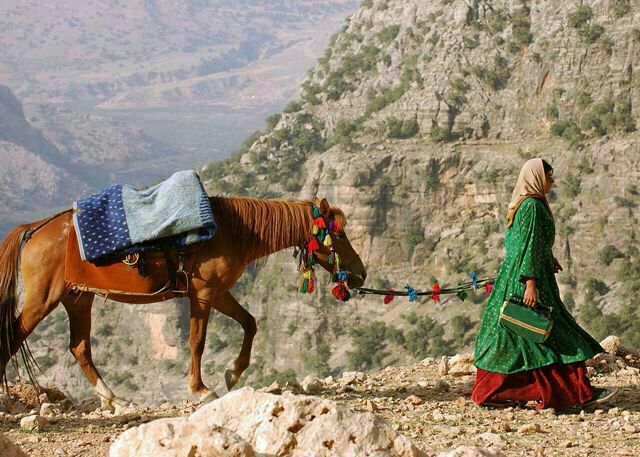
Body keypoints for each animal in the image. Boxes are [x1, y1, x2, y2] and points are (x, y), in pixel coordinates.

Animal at [0, 196, 366, 408]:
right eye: (340, 234)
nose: (360, 274)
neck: (230, 229)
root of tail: (36, 228)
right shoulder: (202, 295)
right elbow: (197, 341)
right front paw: (202, 389)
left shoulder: (218, 293)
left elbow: (249, 323)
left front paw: (233, 373)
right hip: (42, 301)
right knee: (13, 337)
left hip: (77, 299)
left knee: (79, 348)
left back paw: (114, 399)